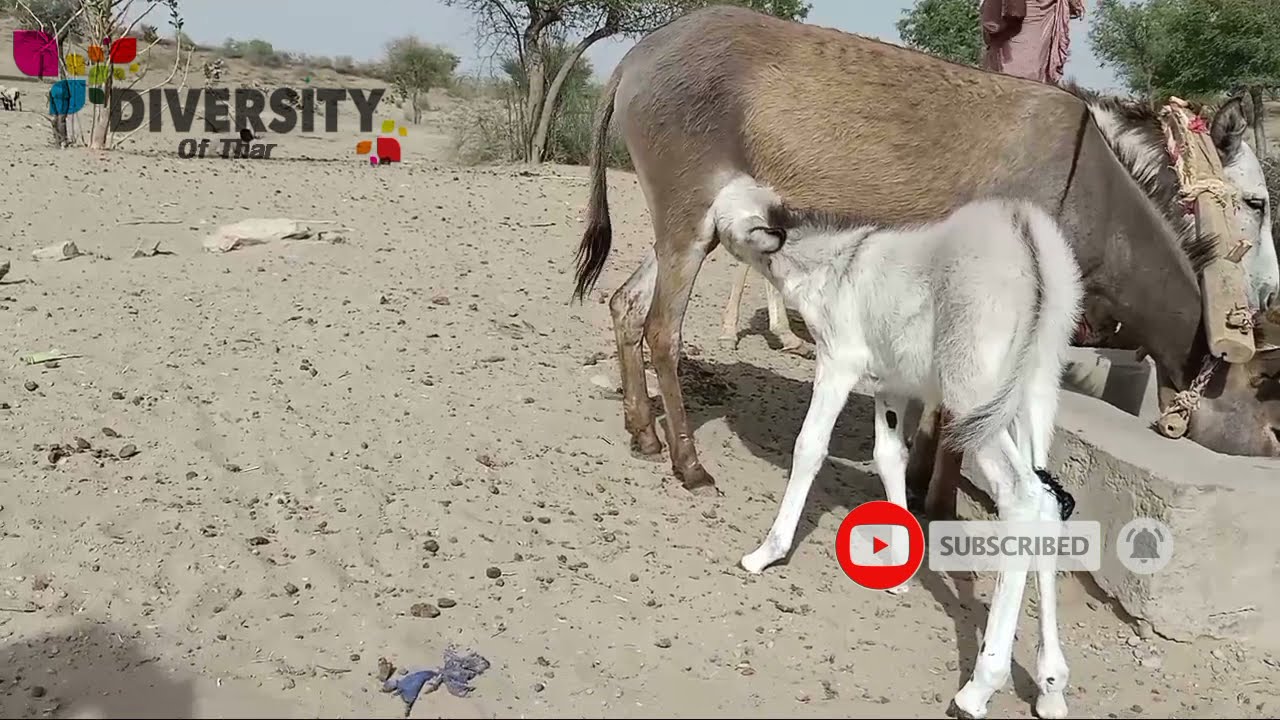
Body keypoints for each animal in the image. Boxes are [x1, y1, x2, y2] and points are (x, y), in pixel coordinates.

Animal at [716, 174, 1085, 717]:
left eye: (721, 219)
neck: (835, 261)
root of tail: (1026, 234)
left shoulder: (839, 363)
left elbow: (810, 446)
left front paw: (766, 553)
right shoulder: (890, 387)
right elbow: (890, 458)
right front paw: (899, 571)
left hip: (974, 399)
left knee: (1023, 497)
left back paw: (980, 685)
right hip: (1035, 393)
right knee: (1050, 501)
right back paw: (1051, 685)